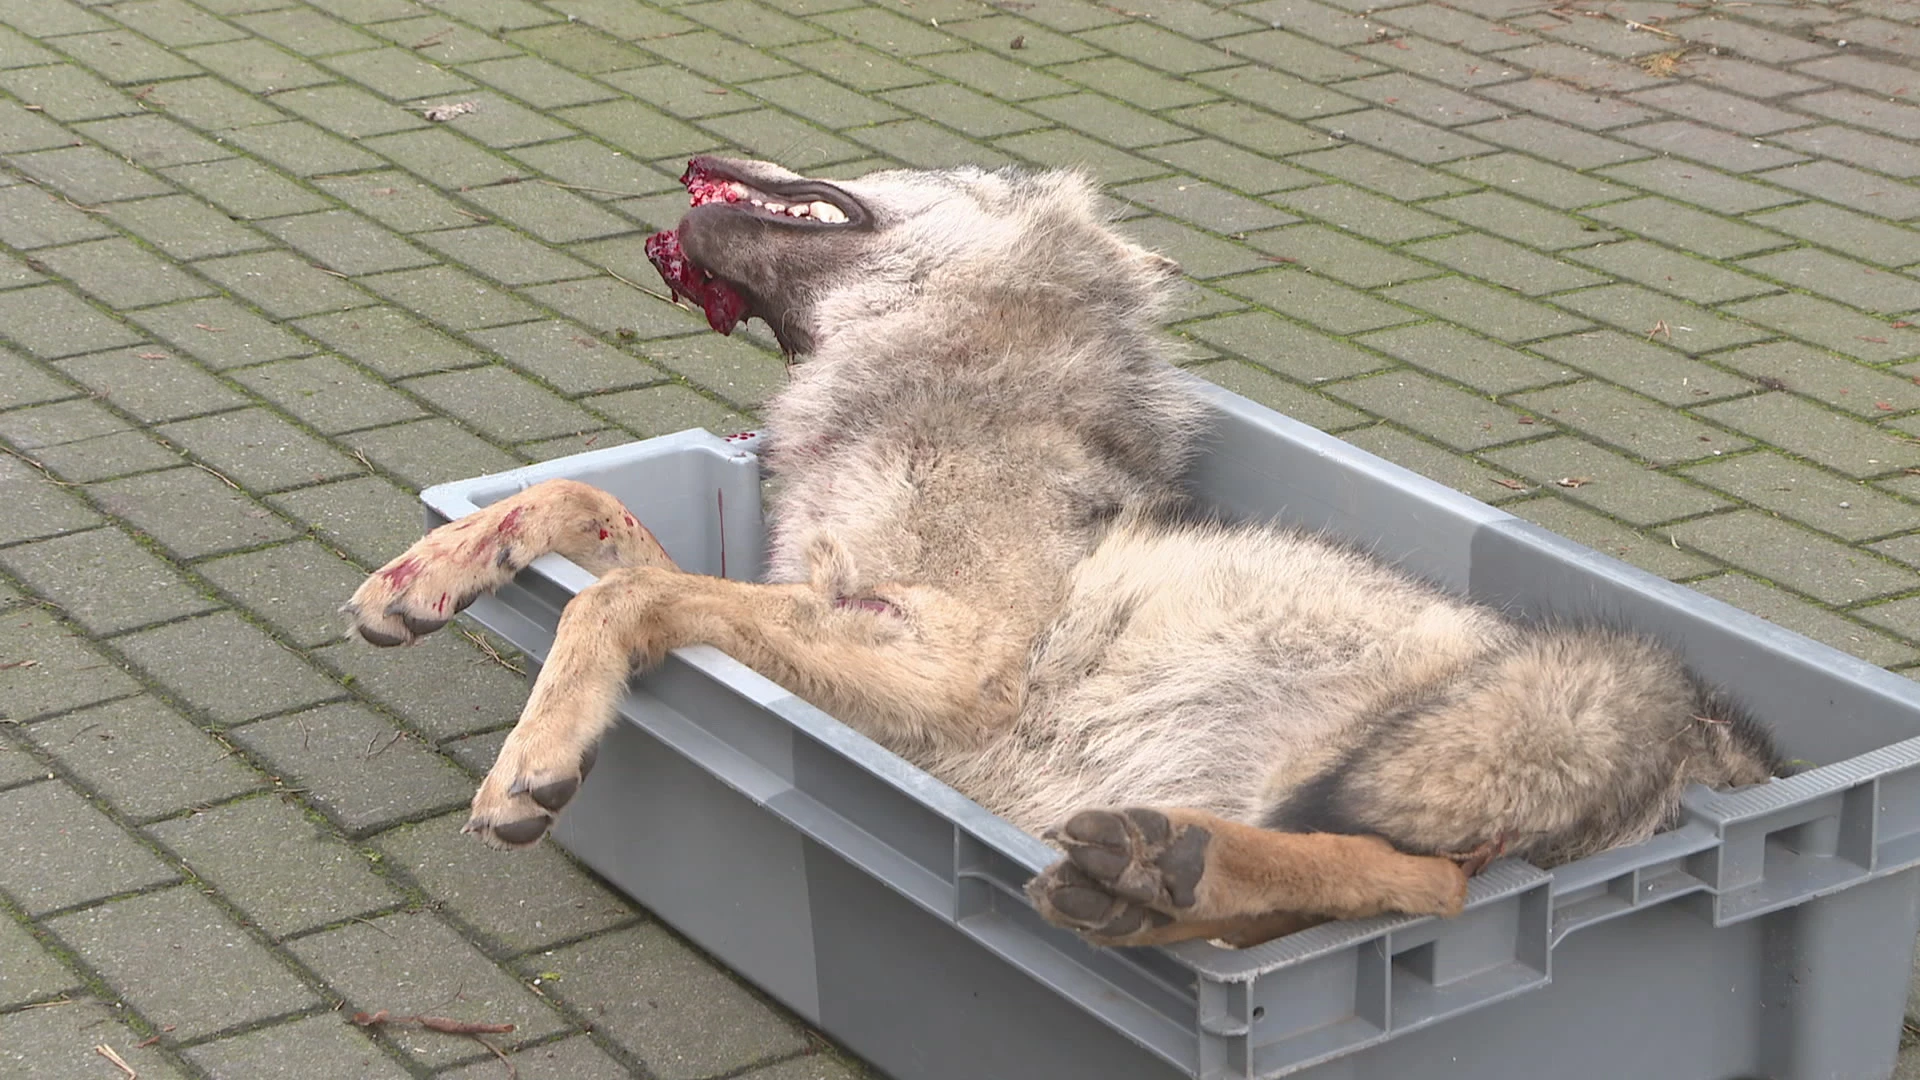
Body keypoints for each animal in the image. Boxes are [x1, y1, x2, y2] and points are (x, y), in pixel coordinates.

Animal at [344, 155, 1784, 950]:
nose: (695, 158)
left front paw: (533, 759)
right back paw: (1151, 880)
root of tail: (1723, 739)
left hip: (1393, 742)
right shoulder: (809, 590)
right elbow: (583, 504)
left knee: (1423, 889)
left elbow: (623, 598)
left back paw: (1165, 872)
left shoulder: (938, 659)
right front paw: (427, 572)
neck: (952, 377)